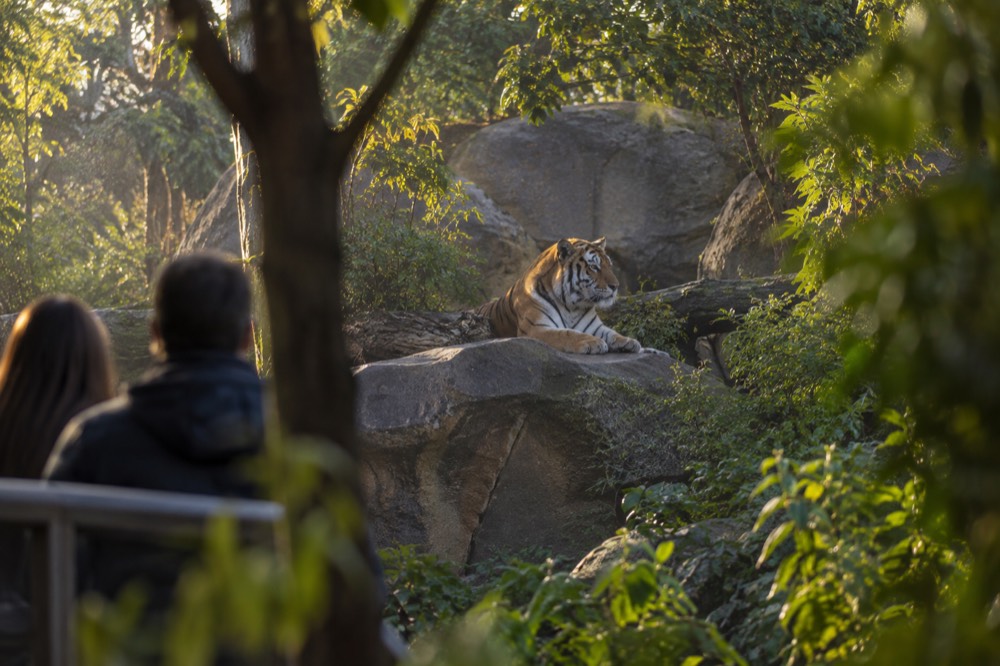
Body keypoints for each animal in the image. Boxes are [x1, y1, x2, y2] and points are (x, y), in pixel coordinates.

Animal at [477, 237, 643, 354]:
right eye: (594, 267)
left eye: (610, 265)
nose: (616, 286)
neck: (572, 305)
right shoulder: (535, 328)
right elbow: (567, 333)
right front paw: (593, 342)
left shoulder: (595, 326)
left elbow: (612, 333)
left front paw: (629, 341)